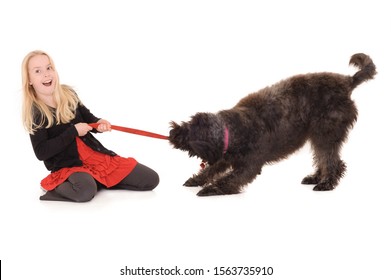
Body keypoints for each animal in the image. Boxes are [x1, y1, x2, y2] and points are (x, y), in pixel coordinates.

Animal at [168, 53, 376, 196]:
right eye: (190, 121)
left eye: (193, 131)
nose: (173, 132)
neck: (232, 131)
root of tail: (347, 81)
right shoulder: (225, 158)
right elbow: (210, 170)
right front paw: (196, 180)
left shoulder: (249, 166)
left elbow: (228, 180)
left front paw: (210, 189)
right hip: (318, 136)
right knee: (323, 159)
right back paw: (315, 177)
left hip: (326, 134)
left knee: (333, 162)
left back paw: (325, 183)